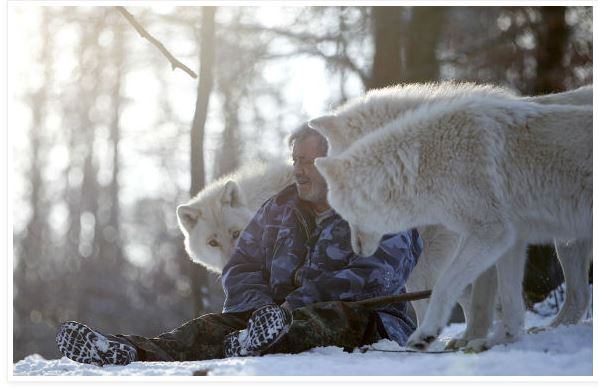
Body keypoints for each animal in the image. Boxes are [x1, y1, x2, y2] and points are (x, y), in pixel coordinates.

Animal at [312, 82, 592, 348]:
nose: (354, 247)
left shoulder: (467, 241)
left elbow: (448, 290)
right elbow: (473, 295)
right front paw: (472, 336)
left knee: (578, 295)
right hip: (569, 241)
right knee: (580, 295)